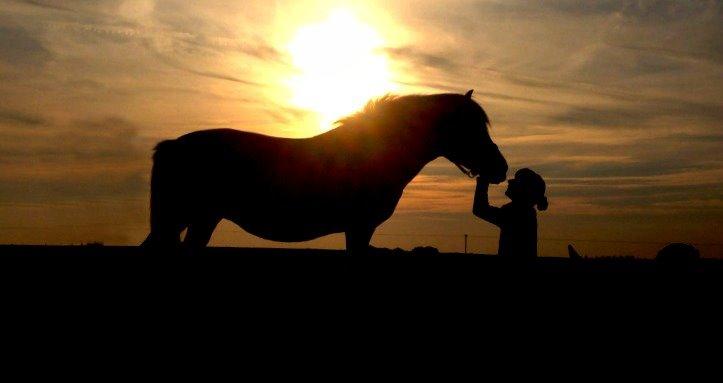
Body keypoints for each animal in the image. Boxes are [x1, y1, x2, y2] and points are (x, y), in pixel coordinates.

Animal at [140, 90, 504, 255]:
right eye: (470, 128)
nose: (500, 169)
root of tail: (171, 145)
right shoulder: (359, 228)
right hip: (183, 217)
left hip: (198, 219)